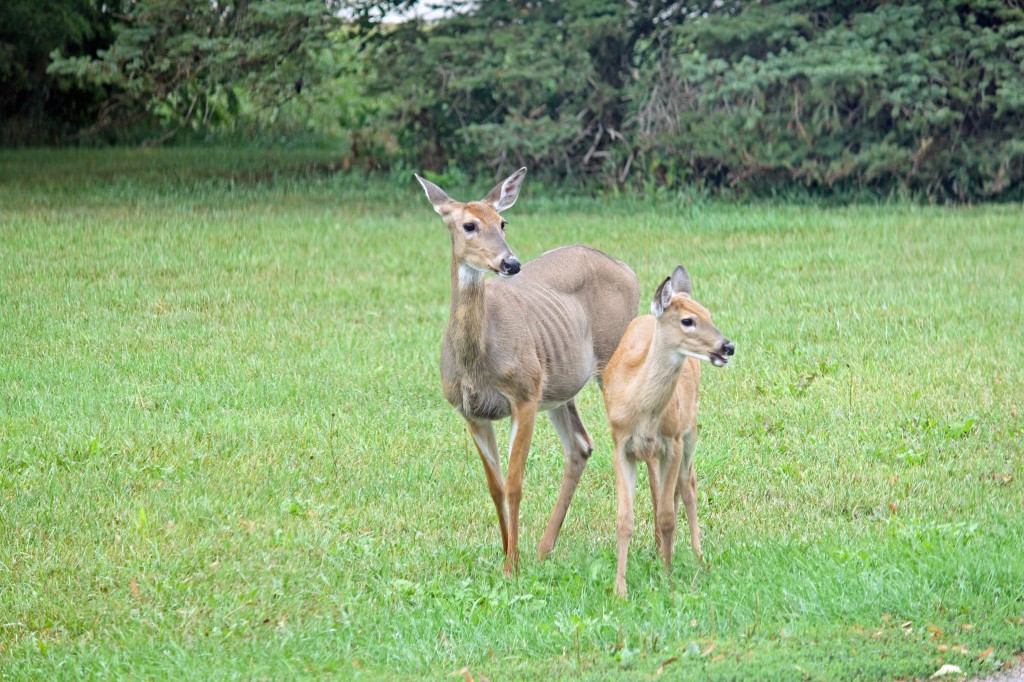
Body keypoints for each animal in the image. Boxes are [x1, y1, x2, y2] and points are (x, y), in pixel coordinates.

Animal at [414, 168, 640, 574]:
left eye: (502, 222)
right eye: (469, 225)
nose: (511, 263)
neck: (478, 359)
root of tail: (629, 271)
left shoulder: (524, 395)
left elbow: (515, 483)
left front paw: (512, 566)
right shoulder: (470, 412)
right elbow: (495, 486)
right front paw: (509, 553)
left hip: (609, 358)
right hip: (559, 387)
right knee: (581, 445)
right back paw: (544, 548)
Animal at [602, 265, 735, 598]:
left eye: (709, 313)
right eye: (688, 320)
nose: (727, 346)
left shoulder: (672, 442)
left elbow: (666, 516)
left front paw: (668, 577)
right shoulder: (620, 445)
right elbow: (625, 519)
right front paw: (620, 589)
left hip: (690, 429)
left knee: (687, 486)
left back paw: (698, 555)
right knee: (664, 488)